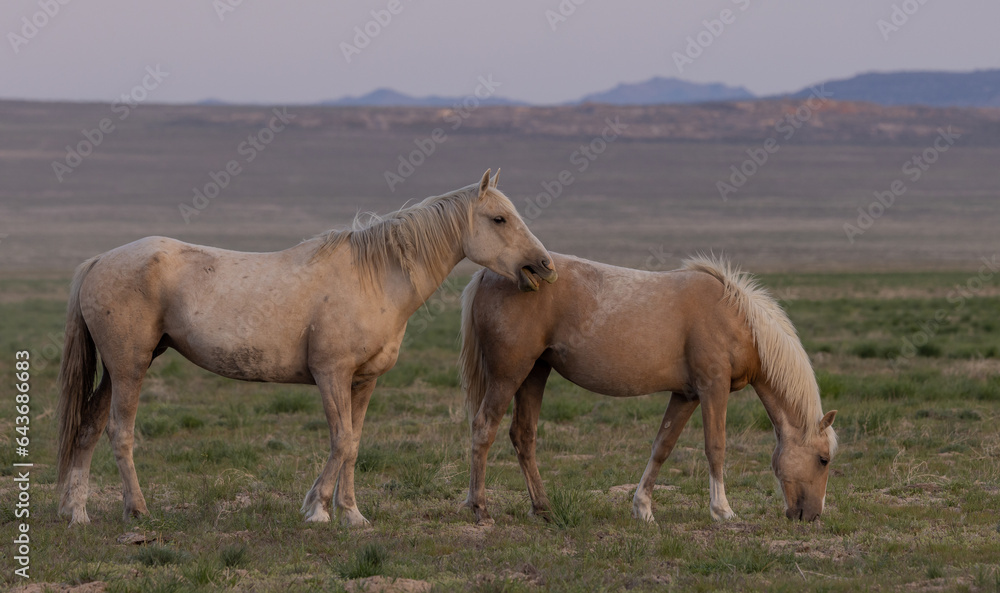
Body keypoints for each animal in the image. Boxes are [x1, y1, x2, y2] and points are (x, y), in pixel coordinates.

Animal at [56, 171, 564, 528]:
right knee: (119, 432)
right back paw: (137, 511)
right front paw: (317, 508)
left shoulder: (364, 381)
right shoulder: (330, 375)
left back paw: (76, 512)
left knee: (88, 427)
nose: (544, 266)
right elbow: (340, 440)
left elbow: (353, 444)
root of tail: (100, 260)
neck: (373, 278)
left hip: (117, 370)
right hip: (130, 367)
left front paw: (353, 514)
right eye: (499, 218)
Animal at [460, 252, 836, 524]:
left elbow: (662, 447)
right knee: (484, 428)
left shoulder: (686, 395)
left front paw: (642, 508)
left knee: (523, 435)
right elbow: (715, 447)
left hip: (535, 372)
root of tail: (490, 274)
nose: (813, 516)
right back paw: (480, 508)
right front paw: (723, 511)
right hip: (509, 375)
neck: (735, 318)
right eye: (823, 459)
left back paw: (544, 509)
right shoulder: (712, 389)